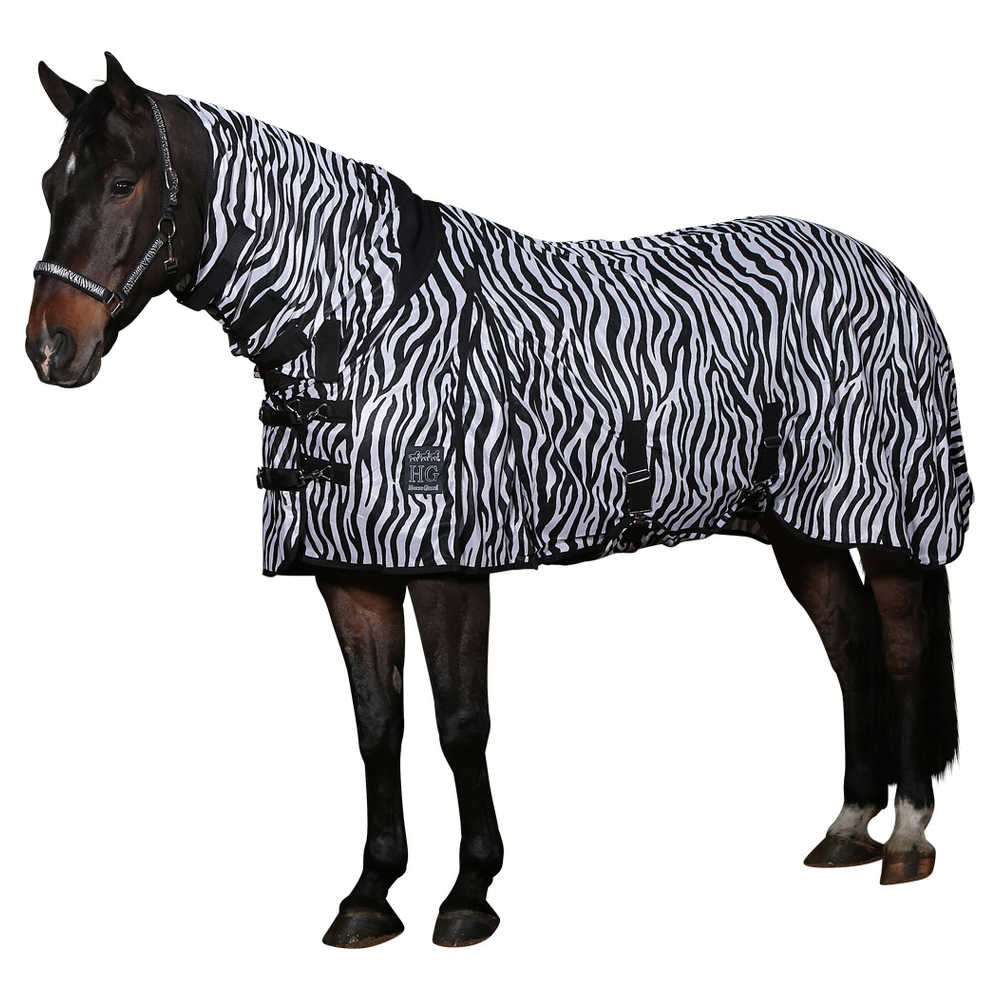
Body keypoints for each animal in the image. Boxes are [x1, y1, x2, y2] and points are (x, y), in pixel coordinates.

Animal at [25, 54, 971, 948]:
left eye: (121, 183)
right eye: (47, 185)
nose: (50, 348)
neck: (366, 331)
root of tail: (894, 277)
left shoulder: (450, 565)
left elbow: (459, 723)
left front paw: (469, 894)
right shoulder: (350, 572)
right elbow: (379, 727)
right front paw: (369, 896)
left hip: (891, 522)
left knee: (898, 653)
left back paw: (906, 839)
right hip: (801, 530)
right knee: (850, 649)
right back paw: (848, 827)